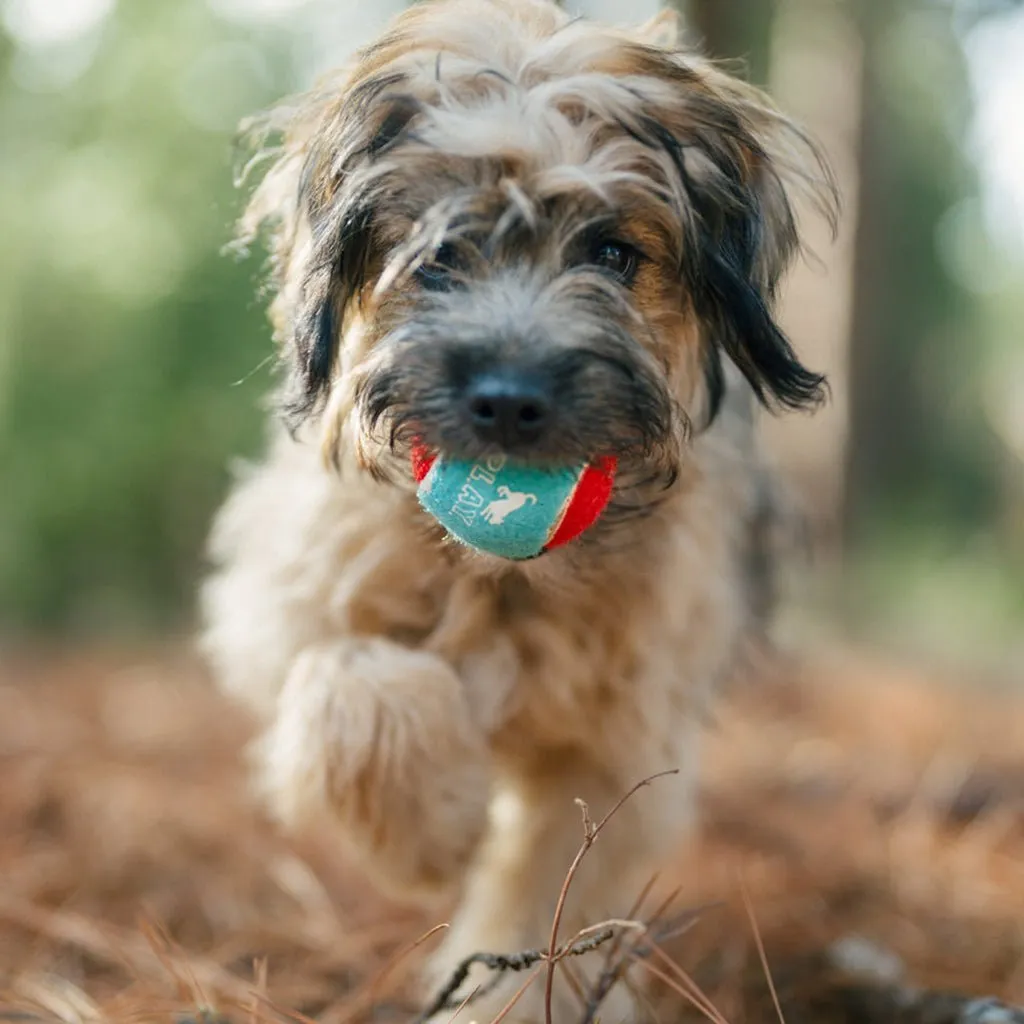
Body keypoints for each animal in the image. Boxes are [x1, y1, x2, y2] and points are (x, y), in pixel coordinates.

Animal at [197, 4, 831, 1019]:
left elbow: (546, 889)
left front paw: (513, 991)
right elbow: (351, 685)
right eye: (439, 255)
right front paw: (429, 835)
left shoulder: (613, 742)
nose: (508, 399)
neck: (501, 578)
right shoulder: (285, 602)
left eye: (613, 253)